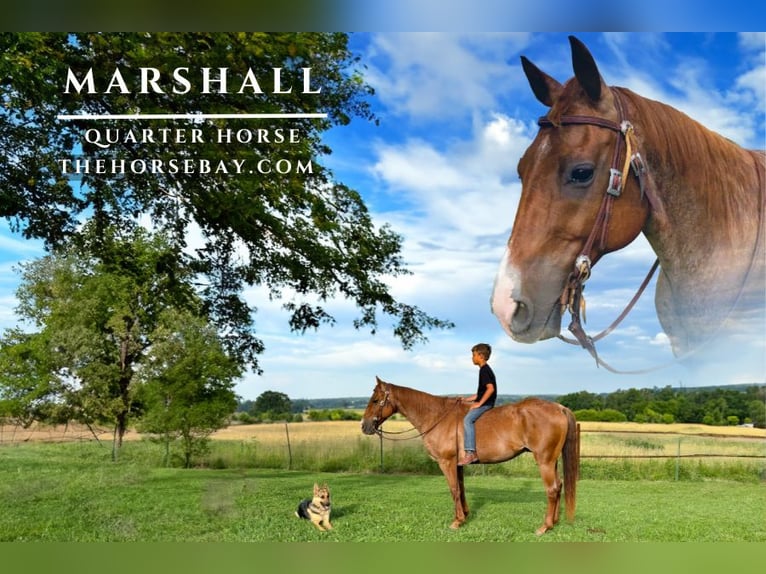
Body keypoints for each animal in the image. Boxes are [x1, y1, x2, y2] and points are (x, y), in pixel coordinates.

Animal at [361, 376, 579, 535]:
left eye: (375, 400)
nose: (364, 426)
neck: (437, 416)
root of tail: (559, 407)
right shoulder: (458, 464)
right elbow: (461, 489)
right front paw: (465, 515)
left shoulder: (446, 462)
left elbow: (454, 490)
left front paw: (457, 521)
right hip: (552, 461)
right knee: (559, 486)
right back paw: (555, 521)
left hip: (544, 461)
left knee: (551, 489)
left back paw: (545, 526)